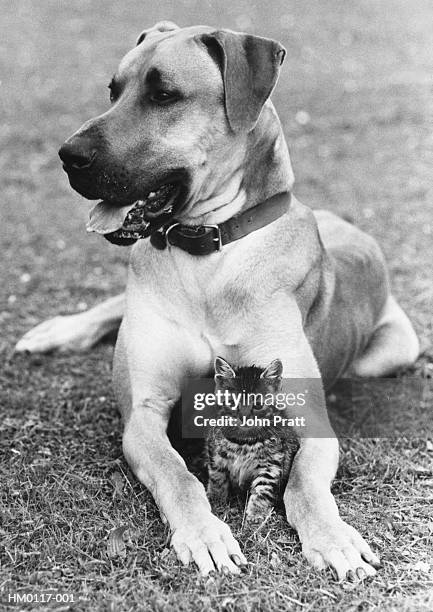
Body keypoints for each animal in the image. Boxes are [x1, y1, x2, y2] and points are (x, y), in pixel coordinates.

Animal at [206, 356, 296, 524]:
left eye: (258, 404)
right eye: (232, 403)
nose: (244, 417)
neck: (244, 442)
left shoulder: (271, 465)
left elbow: (263, 490)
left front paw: (256, 513)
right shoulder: (215, 452)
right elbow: (217, 476)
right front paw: (215, 499)